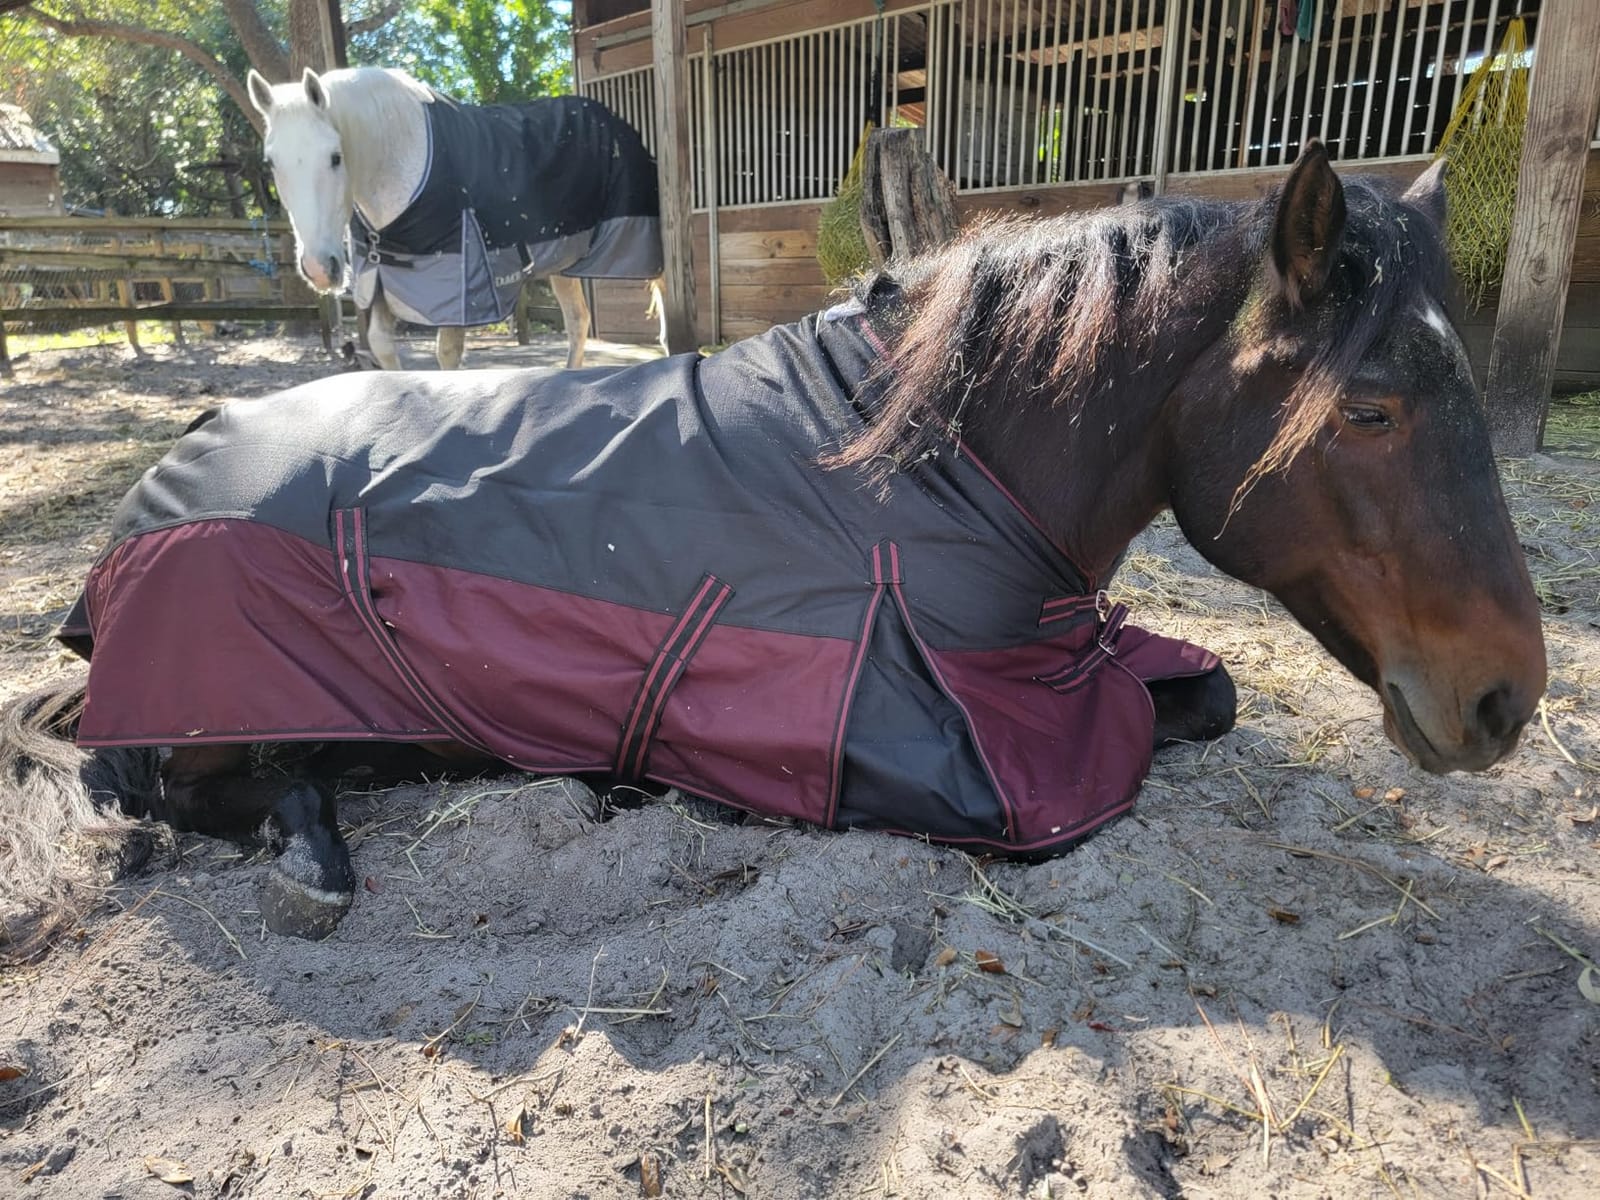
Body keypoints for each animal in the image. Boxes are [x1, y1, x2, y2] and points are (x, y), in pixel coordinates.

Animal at [0, 144, 1545, 955]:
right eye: (1370, 406)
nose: (1505, 700)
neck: (930, 461)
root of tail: (159, 485)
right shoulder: (965, 753)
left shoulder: (1073, 658)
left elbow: (1207, 693)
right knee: (190, 783)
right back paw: (322, 854)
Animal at [246, 66, 668, 371]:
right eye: (271, 163)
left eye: (335, 157)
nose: (320, 269)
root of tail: (613, 119)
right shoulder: (381, 280)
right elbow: (382, 348)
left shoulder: (454, 291)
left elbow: (446, 355)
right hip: (564, 262)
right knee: (578, 322)